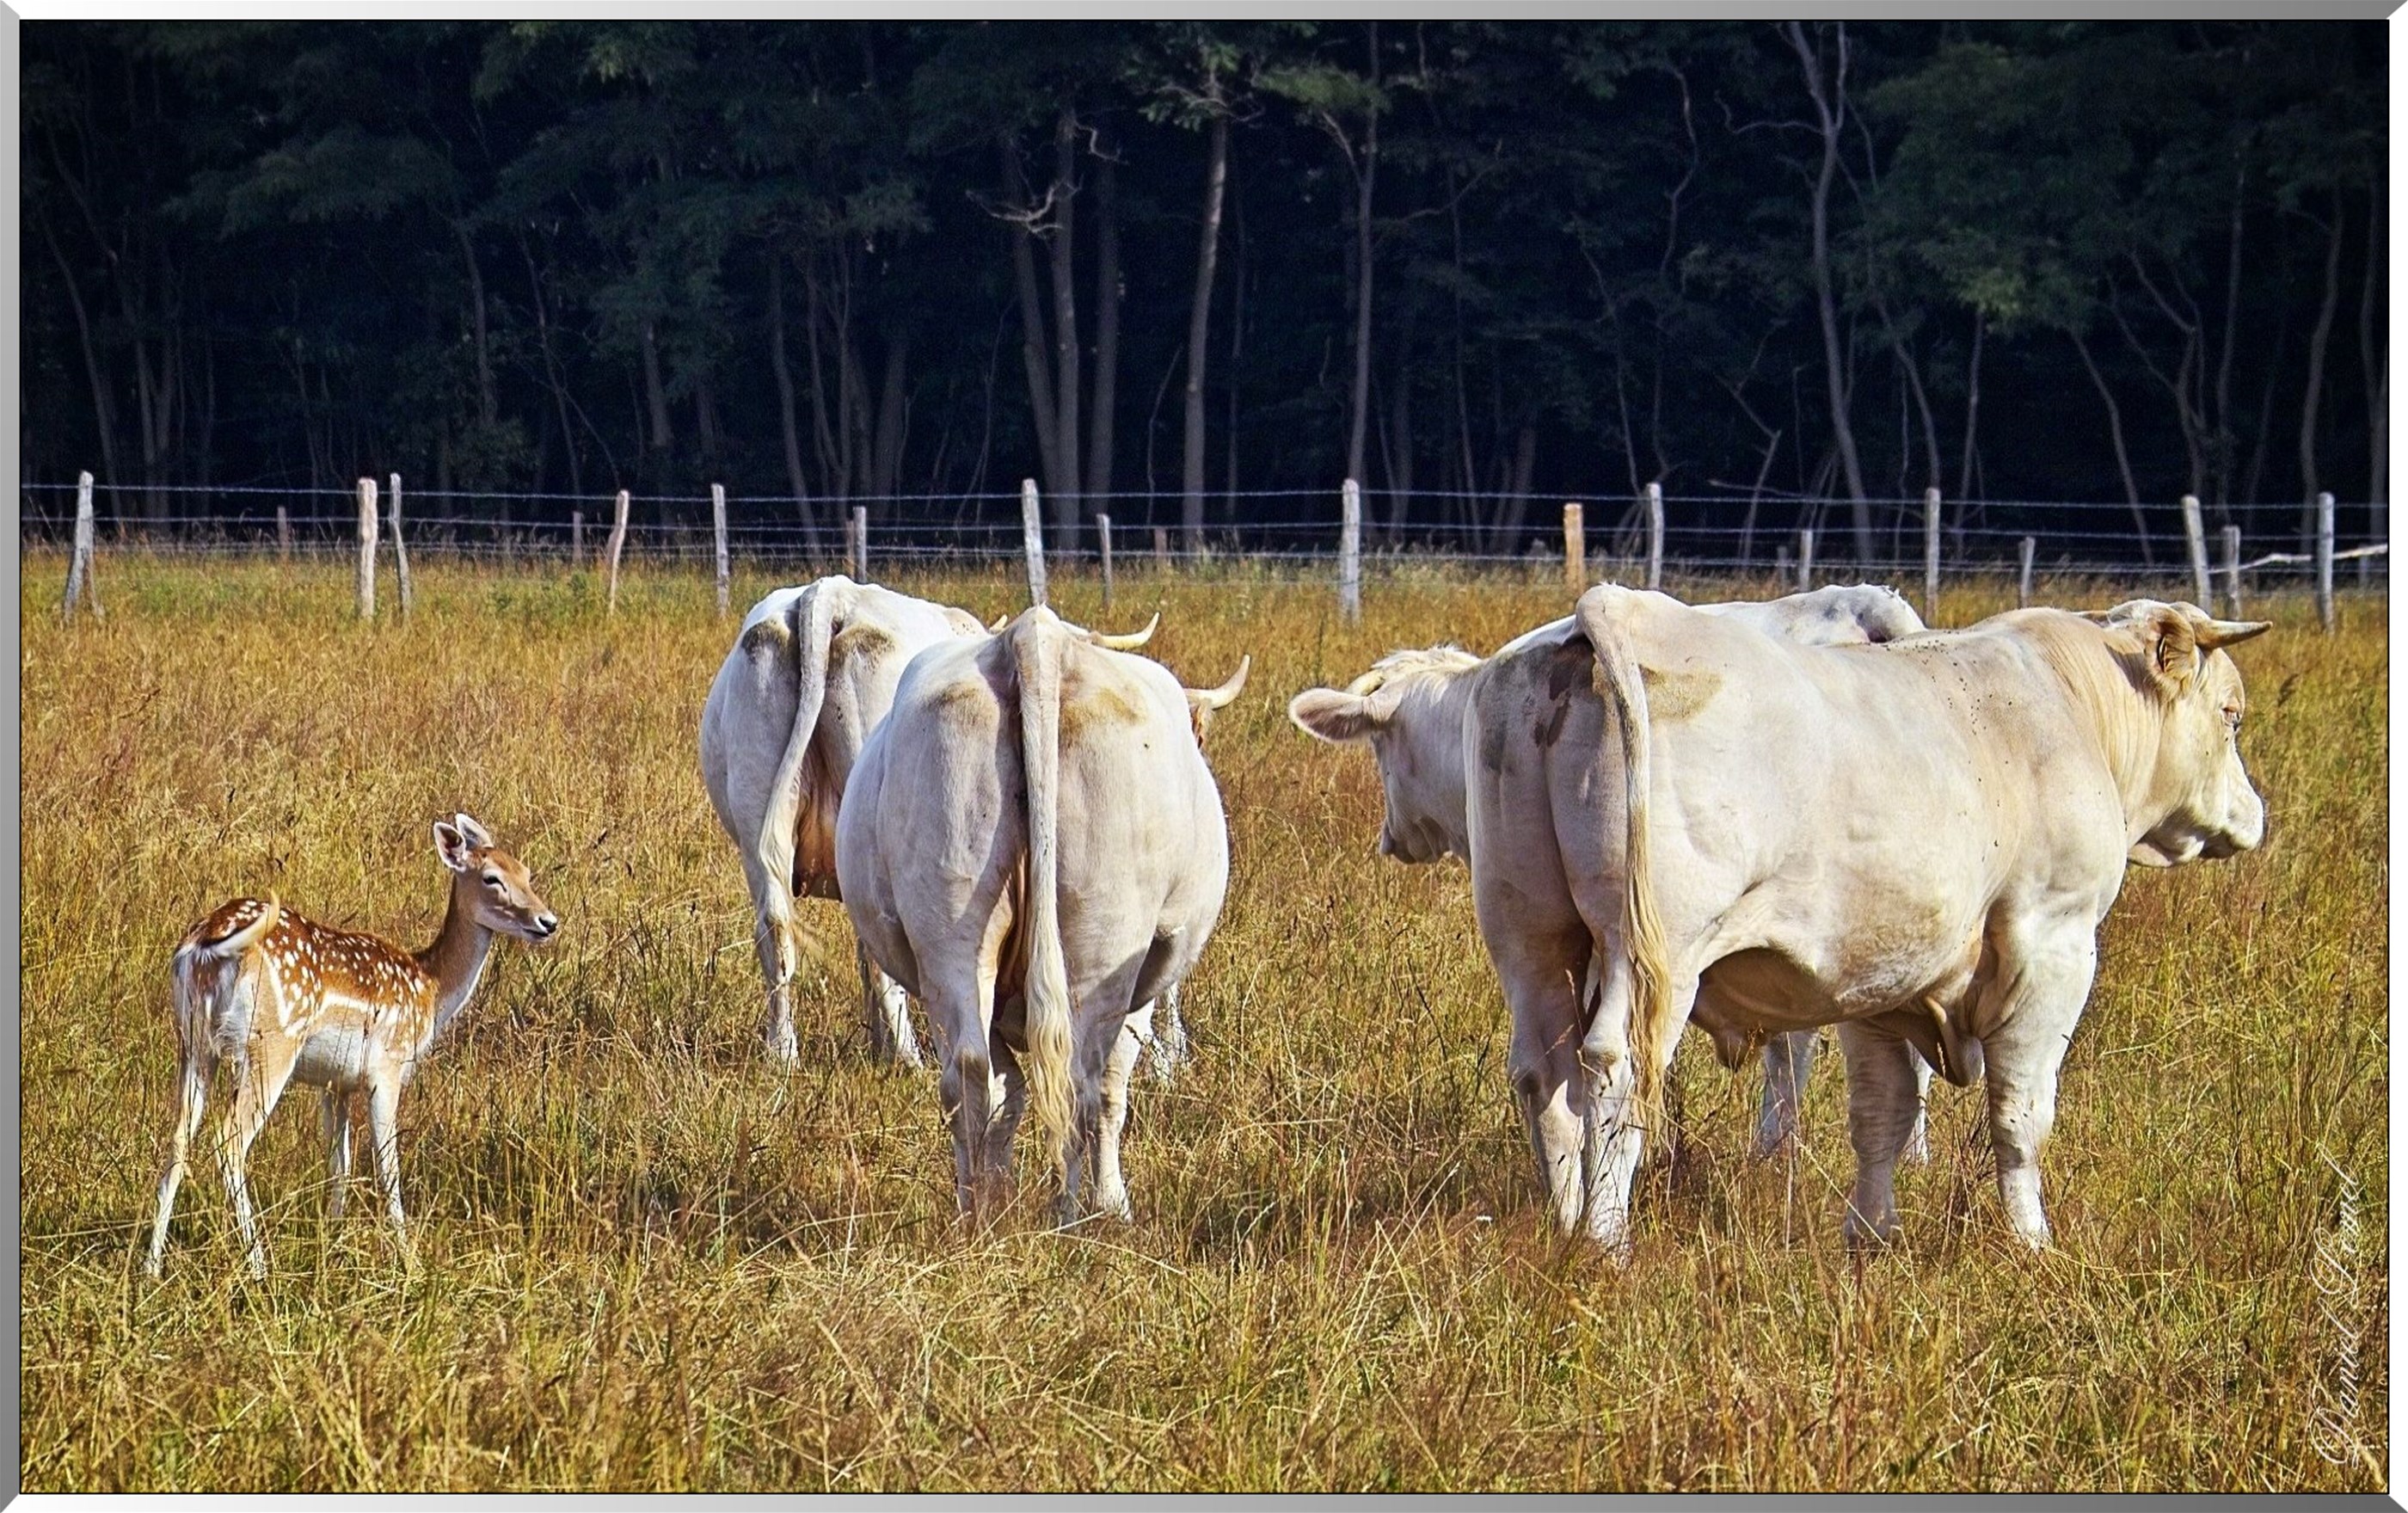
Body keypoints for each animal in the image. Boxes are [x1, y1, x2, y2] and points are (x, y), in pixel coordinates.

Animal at [836, 606, 1248, 1222]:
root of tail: (1035, 639)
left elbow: (1009, 1091)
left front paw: (1000, 1184)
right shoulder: (1140, 989)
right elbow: (1109, 1085)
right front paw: (1113, 1202)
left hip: (950, 931)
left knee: (969, 1075)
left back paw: (976, 1211)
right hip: (1103, 941)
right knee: (1083, 1082)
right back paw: (1073, 1212)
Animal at [1493, 589, 2267, 1254]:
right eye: (2232, 714)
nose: (2254, 815)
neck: (2073, 705)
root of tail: (1625, 607)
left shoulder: (1877, 977)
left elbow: (1880, 1117)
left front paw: (1871, 1234)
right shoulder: (2054, 943)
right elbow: (2021, 1116)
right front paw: (2031, 1242)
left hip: (1534, 938)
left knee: (1547, 1072)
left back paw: (1566, 1219)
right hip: (1656, 953)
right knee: (1616, 1070)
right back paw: (1606, 1240)